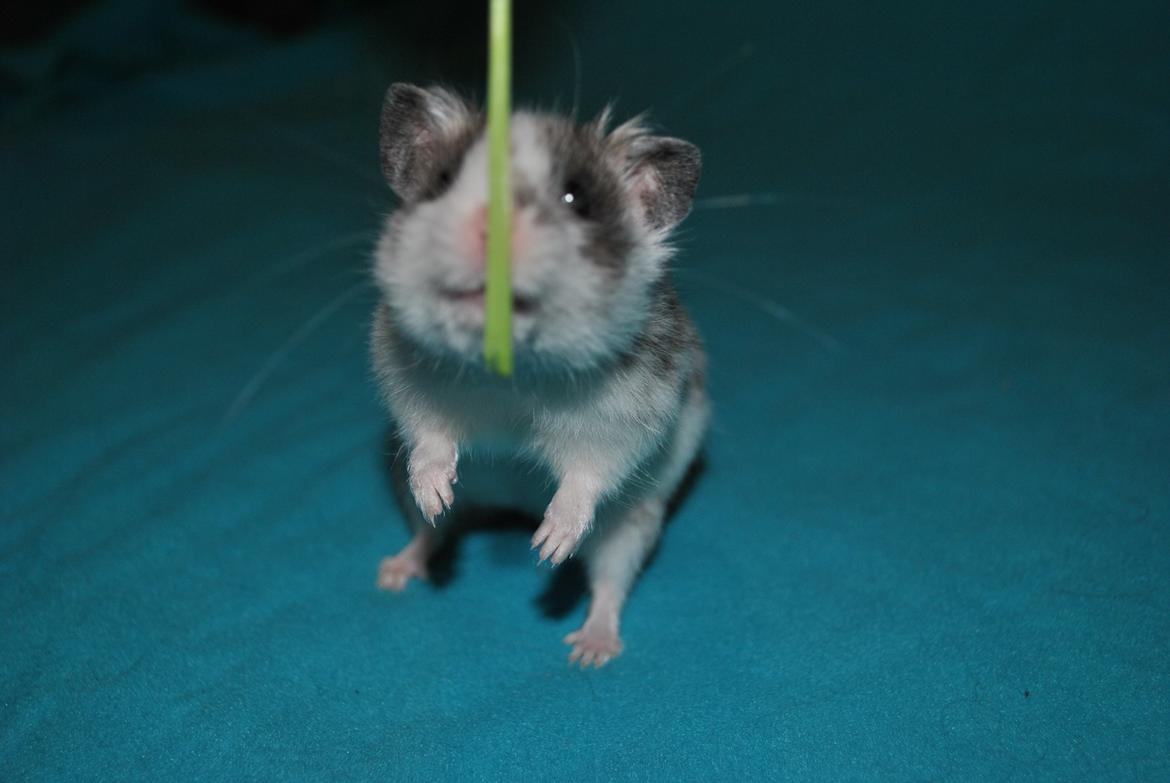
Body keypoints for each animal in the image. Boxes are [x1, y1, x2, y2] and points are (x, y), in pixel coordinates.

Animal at [370, 83, 708, 667]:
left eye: (577, 198)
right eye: (443, 180)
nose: (491, 230)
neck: (513, 372)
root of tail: (511, 506)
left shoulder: (631, 415)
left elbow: (588, 473)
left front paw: (549, 547)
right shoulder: (405, 376)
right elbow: (429, 436)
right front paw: (435, 491)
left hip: (633, 524)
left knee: (610, 581)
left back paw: (591, 650)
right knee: (433, 533)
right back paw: (396, 569)